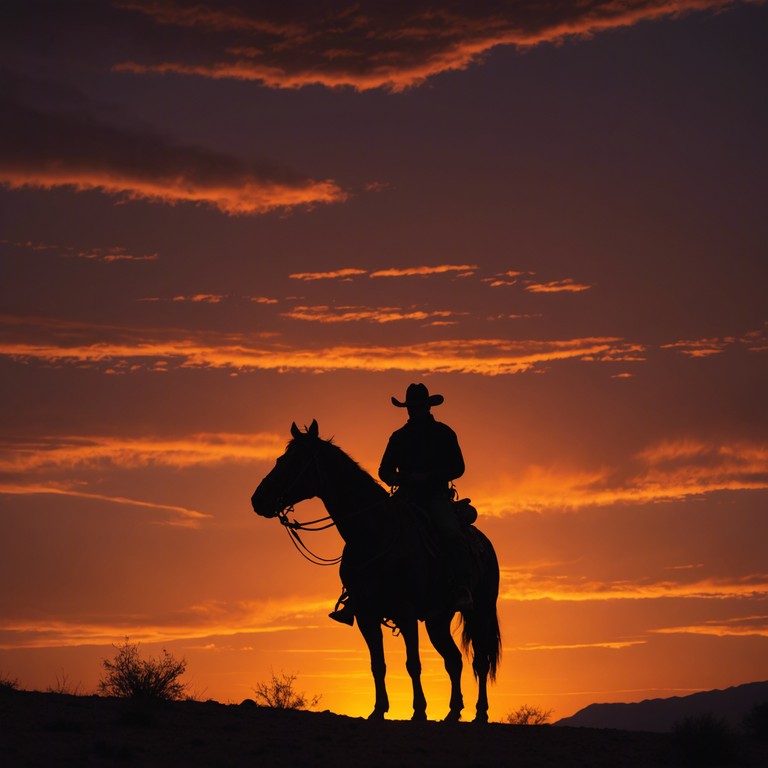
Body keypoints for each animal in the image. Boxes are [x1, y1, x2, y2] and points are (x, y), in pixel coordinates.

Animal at [250, 420, 504, 720]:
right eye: (281, 459)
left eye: (293, 461)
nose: (258, 499)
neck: (373, 533)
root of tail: (484, 543)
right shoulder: (365, 613)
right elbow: (377, 664)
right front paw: (379, 709)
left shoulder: (406, 611)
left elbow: (413, 663)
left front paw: (419, 711)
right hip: (437, 619)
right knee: (453, 660)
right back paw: (453, 712)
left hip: (480, 611)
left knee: (481, 661)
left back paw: (481, 713)